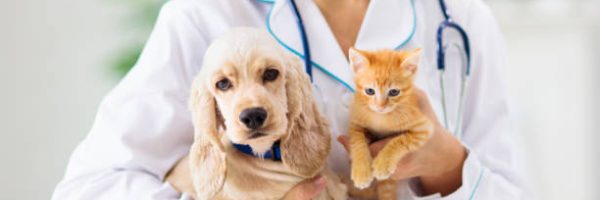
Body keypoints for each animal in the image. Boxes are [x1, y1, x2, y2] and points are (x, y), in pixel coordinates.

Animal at [346, 47, 432, 199]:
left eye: (394, 92)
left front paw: (382, 163)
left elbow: (400, 140)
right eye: (370, 91)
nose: (380, 107)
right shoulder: (355, 123)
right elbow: (357, 142)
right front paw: (361, 171)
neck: (381, 117)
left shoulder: (424, 128)